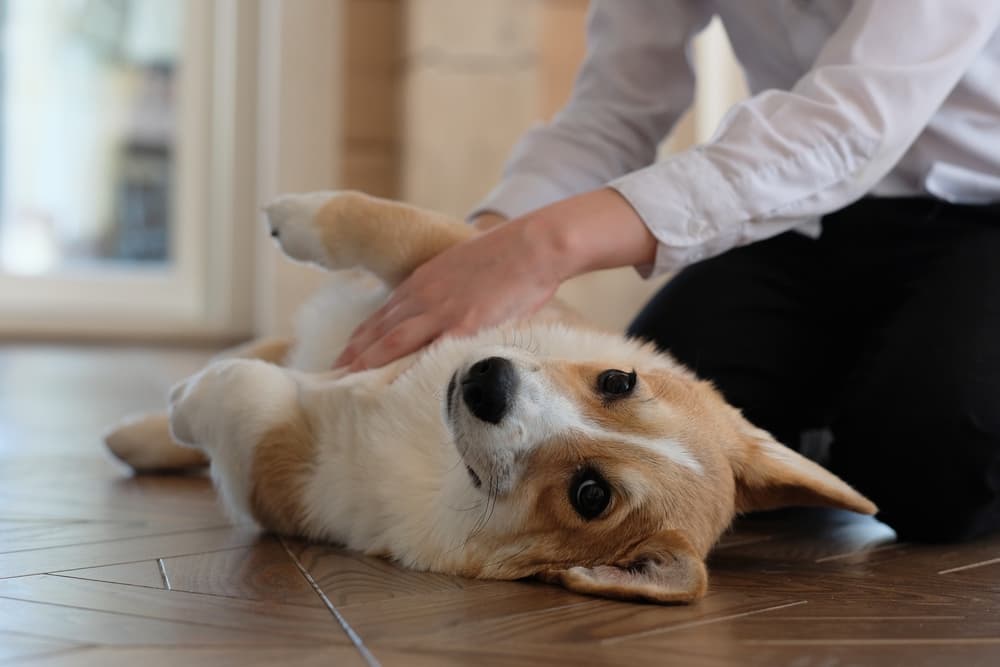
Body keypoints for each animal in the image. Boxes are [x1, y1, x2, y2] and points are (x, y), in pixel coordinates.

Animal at [107, 193, 876, 604]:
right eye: (617, 381)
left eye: (590, 494)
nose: (485, 381)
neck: (438, 447)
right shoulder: (463, 274)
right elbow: (384, 224)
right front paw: (289, 214)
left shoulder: (288, 482)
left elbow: (243, 395)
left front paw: (191, 396)